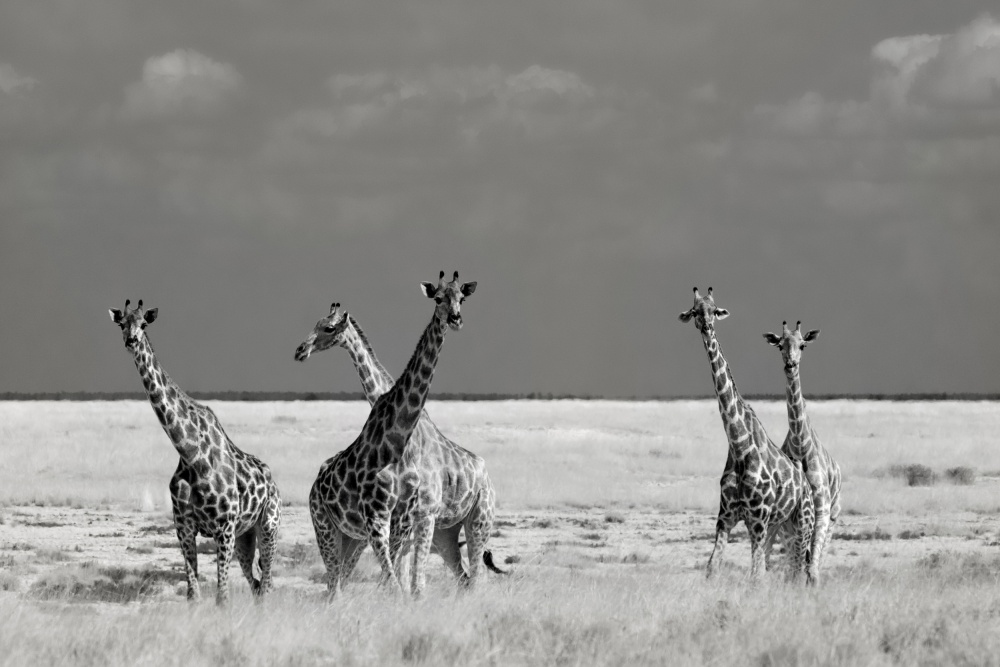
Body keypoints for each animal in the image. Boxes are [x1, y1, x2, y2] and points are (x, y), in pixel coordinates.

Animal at [108, 299, 281, 605]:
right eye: (121, 324)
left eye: (144, 324)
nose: (131, 341)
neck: (190, 454)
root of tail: (273, 482)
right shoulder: (184, 528)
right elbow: (193, 594)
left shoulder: (224, 529)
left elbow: (222, 597)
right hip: (245, 536)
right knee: (257, 583)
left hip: (268, 526)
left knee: (267, 584)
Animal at [295, 301, 505, 595]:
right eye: (316, 324)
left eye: (328, 327)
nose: (301, 350)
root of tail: (486, 474)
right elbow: (401, 577)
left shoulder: (419, 515)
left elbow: (407, 580)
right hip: (445, 532)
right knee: (463, 577)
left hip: (478, 518)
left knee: (476, 575)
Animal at [678, 287, 814, 583]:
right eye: (694, 311)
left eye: (714, 309)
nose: (707, 326)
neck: (739, 447)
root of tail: (808, 485)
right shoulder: (726, 518)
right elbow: (712, 568)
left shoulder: (758, 520)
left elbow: (757, 576)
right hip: (780, 524)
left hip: (802, 522)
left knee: (801, 569)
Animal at [764, 320, 842, 584]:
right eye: (779, 345)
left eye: (803, 345)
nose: (790, 365)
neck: (801, 444)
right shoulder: (788, 520)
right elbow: (798, 567)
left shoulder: (822, 510)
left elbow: (813, 569)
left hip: (833, 516)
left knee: (815, 560)